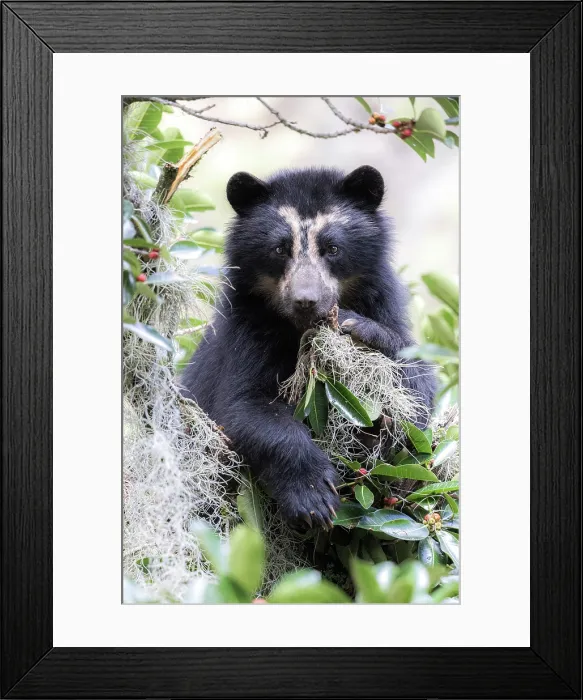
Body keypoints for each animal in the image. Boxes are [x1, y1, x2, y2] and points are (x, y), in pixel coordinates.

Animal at [180, 165, 436, 530]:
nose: (306, 301)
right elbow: (243, 406)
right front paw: (314, 500)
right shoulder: (246, 328)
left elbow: (419, 387)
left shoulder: (384, 303)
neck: (297, 329)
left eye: (333, 248)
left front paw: (358, 327)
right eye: (279, 249)